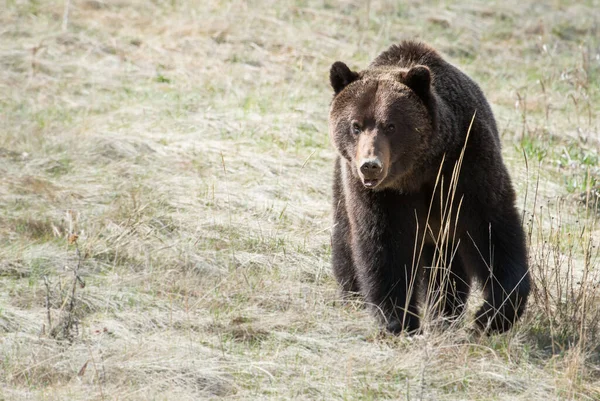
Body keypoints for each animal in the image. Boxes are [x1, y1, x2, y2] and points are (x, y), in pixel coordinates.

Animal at [328, 41, 528, 334]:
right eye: (355, 125)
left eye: (391, 125)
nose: (370, 165)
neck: (417, 172)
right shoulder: (380, 196)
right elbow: (384, 246)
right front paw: (399, 320)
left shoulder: (467, 168)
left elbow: (494, 233)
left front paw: (491, 315)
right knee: (345, 238)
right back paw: (352, 294)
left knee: (447, 269)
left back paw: (446, 310)